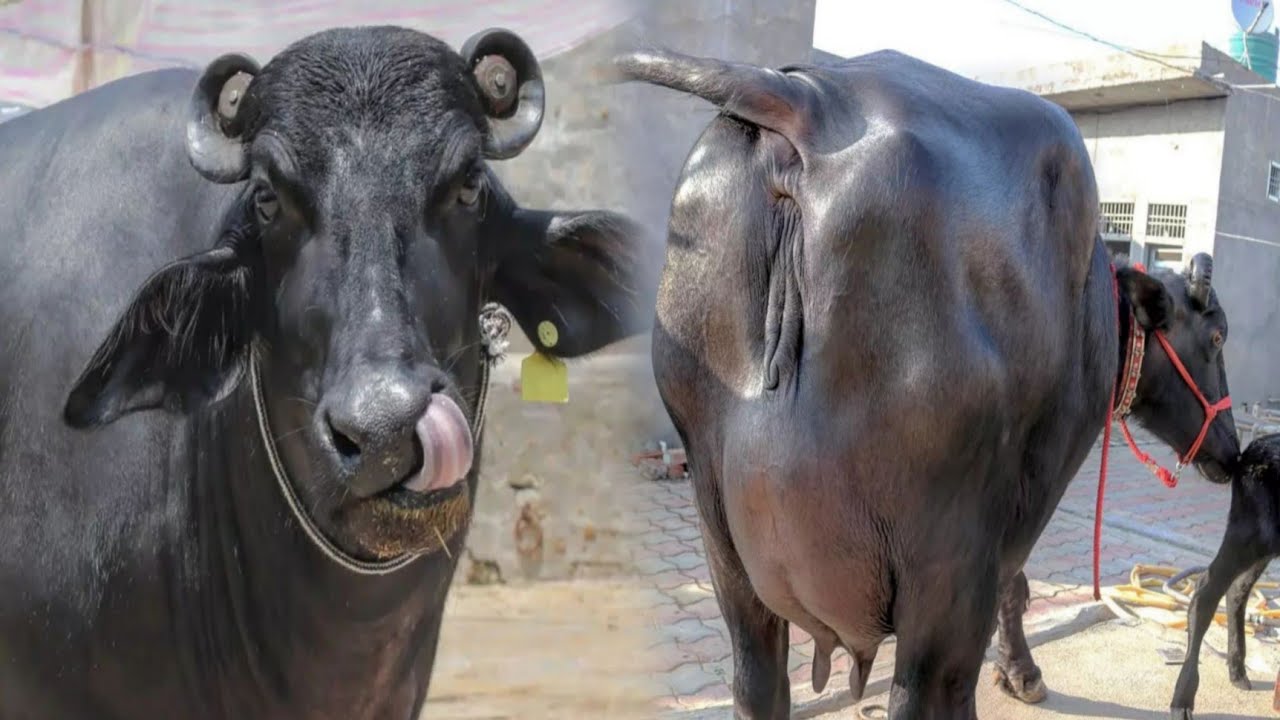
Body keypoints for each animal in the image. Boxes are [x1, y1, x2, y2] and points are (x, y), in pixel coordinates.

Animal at [612, 48, 1238, 718]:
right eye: (1217, 336)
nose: (1232, 449)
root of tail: (805, 99)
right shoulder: (1017, 508)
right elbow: (1015, 588)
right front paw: (1023, 674)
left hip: (724, 543)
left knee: (756, 681)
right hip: (940, 569)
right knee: (928, 686)